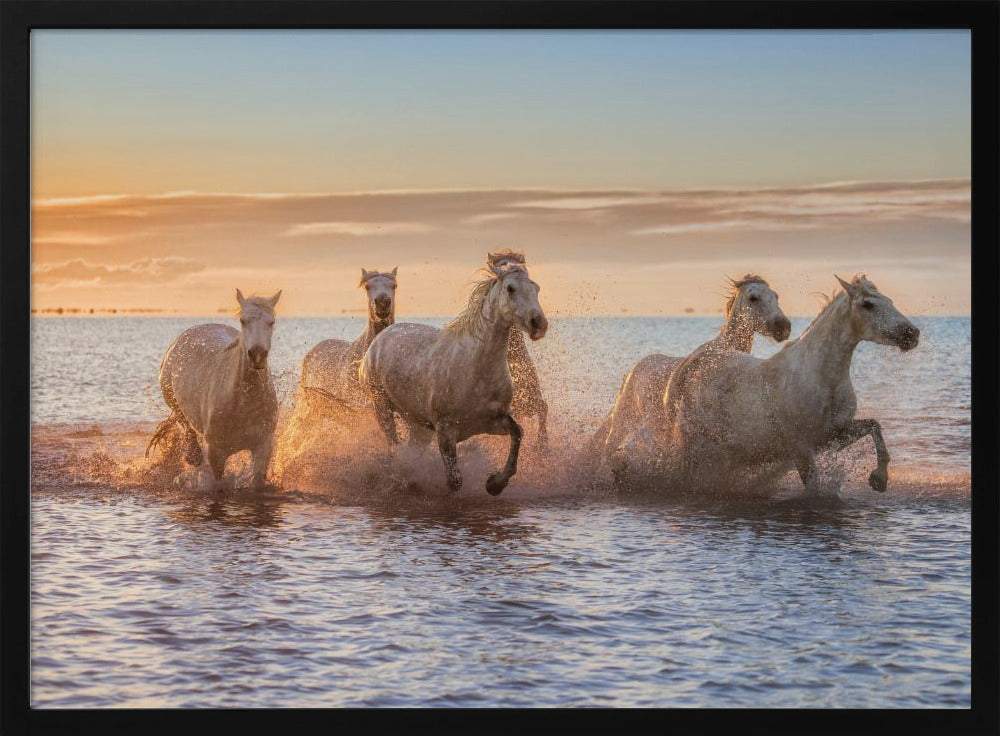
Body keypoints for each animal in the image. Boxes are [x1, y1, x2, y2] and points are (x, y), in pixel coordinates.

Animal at [145, 290, 280, 492]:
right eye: (243, 321)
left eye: (271, 322)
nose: (257, 355)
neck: (243, 404)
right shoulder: (216, 452)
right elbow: (218, 483)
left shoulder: (263, 445)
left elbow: (257, 481)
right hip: (172, 400)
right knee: (185, 423)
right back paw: (193, 456)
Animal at [360, 262, 548, 498]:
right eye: (511, 288)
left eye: (537, 288)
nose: (539, 324)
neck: (474, 369)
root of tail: (381, 337)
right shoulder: (445, 430)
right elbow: (455, 481)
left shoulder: (493, 421)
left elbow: (518, 433)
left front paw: (495, 483)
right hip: (382, 407)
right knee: (394, 444)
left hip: (417, 424)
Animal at [632, 274, 920, 494]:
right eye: (868, 304)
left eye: (890, 301)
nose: (912, 334)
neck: (819, 378)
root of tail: (688, 364)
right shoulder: (801, 448)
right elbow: (813, 489)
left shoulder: (833, 435)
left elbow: (875, 426)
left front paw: (879, 479)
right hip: (691, 445)